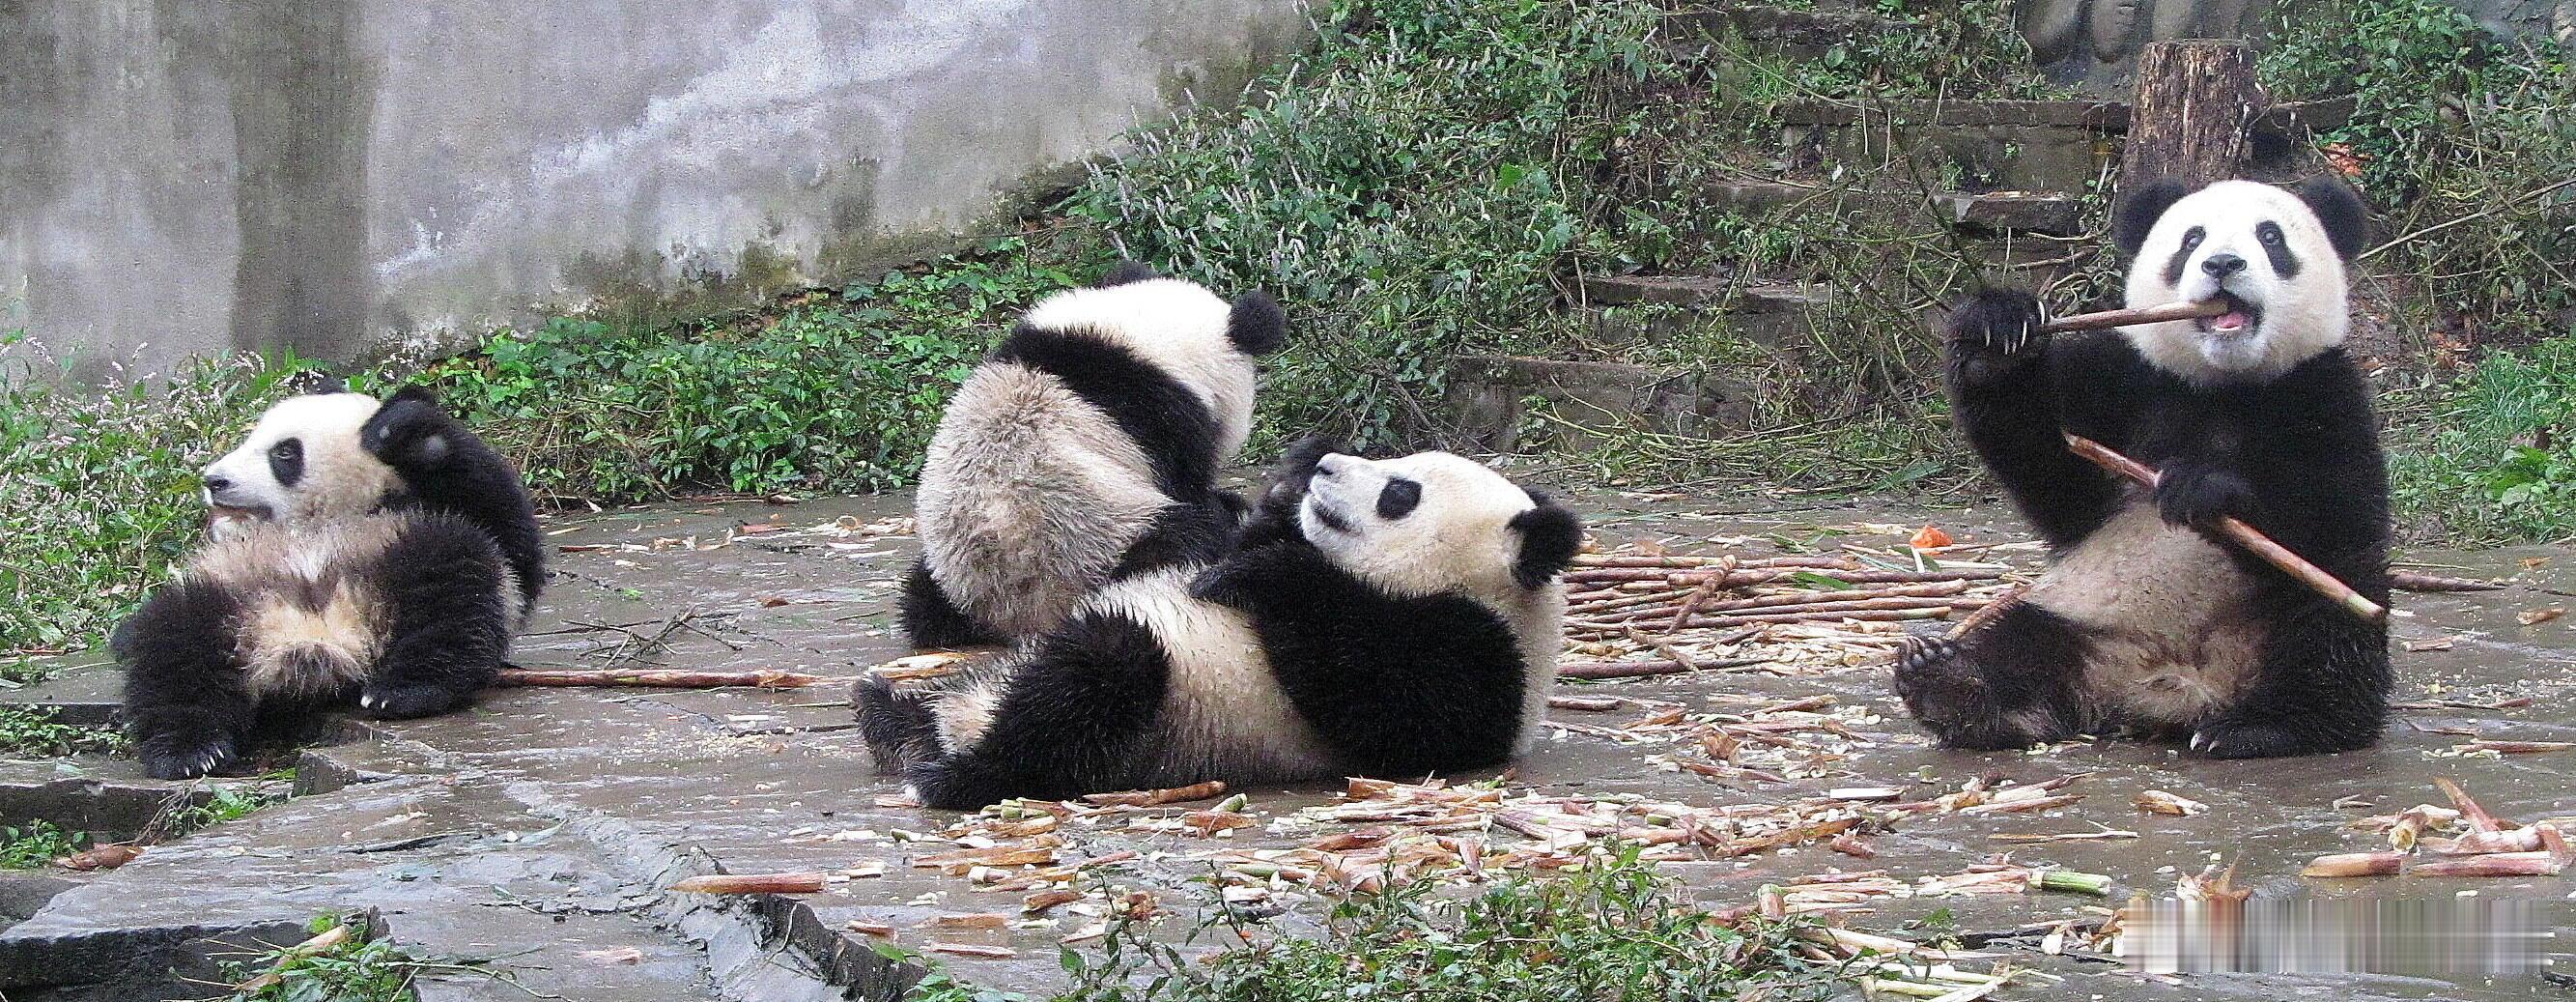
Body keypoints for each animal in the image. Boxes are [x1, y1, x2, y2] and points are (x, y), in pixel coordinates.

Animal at [116, 386, 543, 778]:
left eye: (284, 452)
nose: (214, 480)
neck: (328, 516)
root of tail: (314, 641)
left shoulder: (422, 506)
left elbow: (511, 547)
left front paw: (397, 429)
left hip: (399, 555)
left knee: (451, 586)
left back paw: (404, 690)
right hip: (228, 593)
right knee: (174, 646)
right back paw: (190, 750)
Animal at [855, 435, 1576, 803]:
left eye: (1400, 493)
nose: (1324, 466)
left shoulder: (1482, 660)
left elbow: (1383, 695)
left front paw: (1268, 573)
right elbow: (1223, 540)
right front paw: (1279, 499)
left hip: (1153, 724)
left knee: (1095, 680)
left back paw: (960, 774)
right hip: (1001, 680)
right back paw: (890, 713)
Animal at [901, 261, 1288, 648]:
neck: (1137, 337)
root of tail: (1013, 617)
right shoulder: (1165, 420)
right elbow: (1187, 482)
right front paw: (1227, 502)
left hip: (946, 571)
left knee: (919, 599)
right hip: (1102, 542)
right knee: (1184, 538)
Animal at [1895, 177, 2390, 757]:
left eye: (2271, 237)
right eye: (2192, 238)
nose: (2222, 263)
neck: (2222, 384)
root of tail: (2168, 689)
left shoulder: (2324, 392)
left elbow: (2333, 515)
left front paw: (2204, 489)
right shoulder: (2125, 380)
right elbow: (2054, 480)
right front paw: (1995, 336)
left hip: (2290, 625)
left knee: (2328, 624)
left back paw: (2264, 727)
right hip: (2086, 616)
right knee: (2023, 640)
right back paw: (1952, 685)